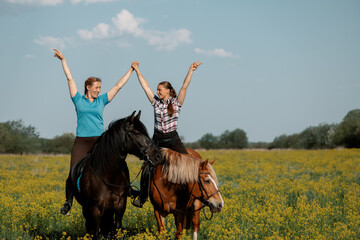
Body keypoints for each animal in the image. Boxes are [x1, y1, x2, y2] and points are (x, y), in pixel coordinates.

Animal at [69, 111, 160, 239]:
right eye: (136, 133)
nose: (157, 156)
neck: (108, 175)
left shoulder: (119, 206)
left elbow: (115, 228)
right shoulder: (94, 209)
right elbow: (95, 232)